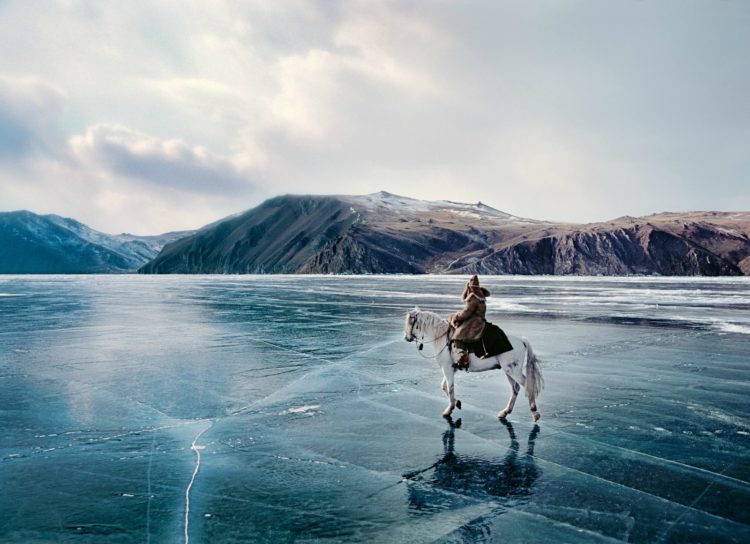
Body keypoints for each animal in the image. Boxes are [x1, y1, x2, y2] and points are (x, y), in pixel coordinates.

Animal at [408, 306, 544, 420]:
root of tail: (522, 340)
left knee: (527, 385)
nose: (406, 337)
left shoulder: (447, 369)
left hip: (513, 371)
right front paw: (457, 403)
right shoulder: (452, 369)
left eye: (410, 322)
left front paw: (449, 410)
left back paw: (535, 413)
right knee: (515, 388)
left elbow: (450, 388)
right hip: (508, 371)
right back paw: (505, 412)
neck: (443, 339)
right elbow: (444, 386)